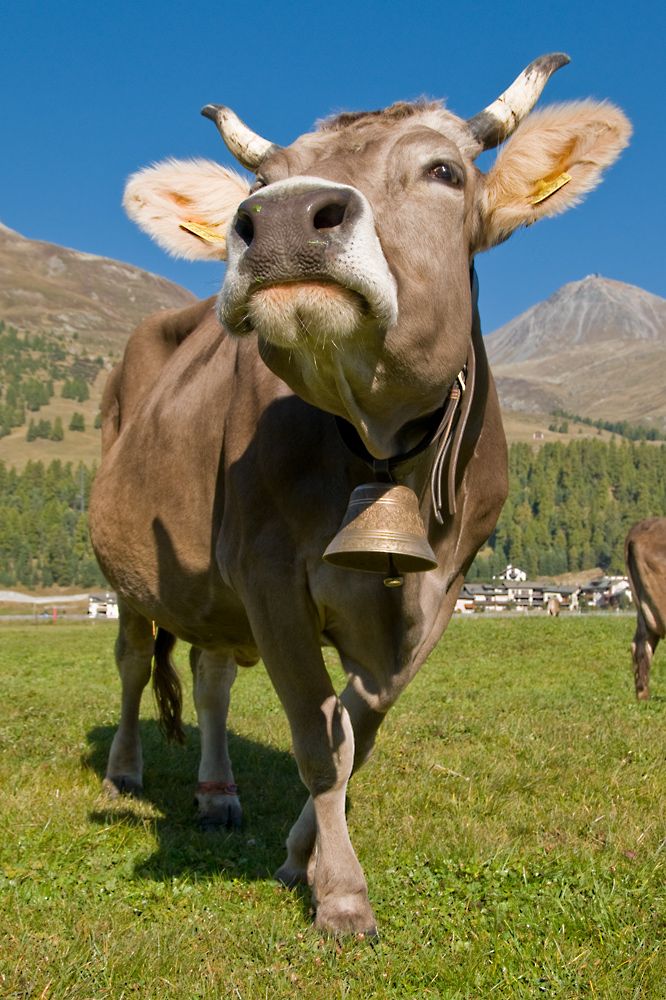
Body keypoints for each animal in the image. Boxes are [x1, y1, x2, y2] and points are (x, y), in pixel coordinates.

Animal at [89, 56, 628, 936]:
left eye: (445, 172)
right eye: (262, 181)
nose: (280, 218)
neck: (377, 444)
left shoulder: (438, 593)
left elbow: (357, 736)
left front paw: (298, 857)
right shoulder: (267, 572)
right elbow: (317, 739)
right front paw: (341, 893)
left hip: (213, 593)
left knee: (210, 676)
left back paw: (217, 792)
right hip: (130, 574)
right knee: (135, 662)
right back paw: (125, 773)